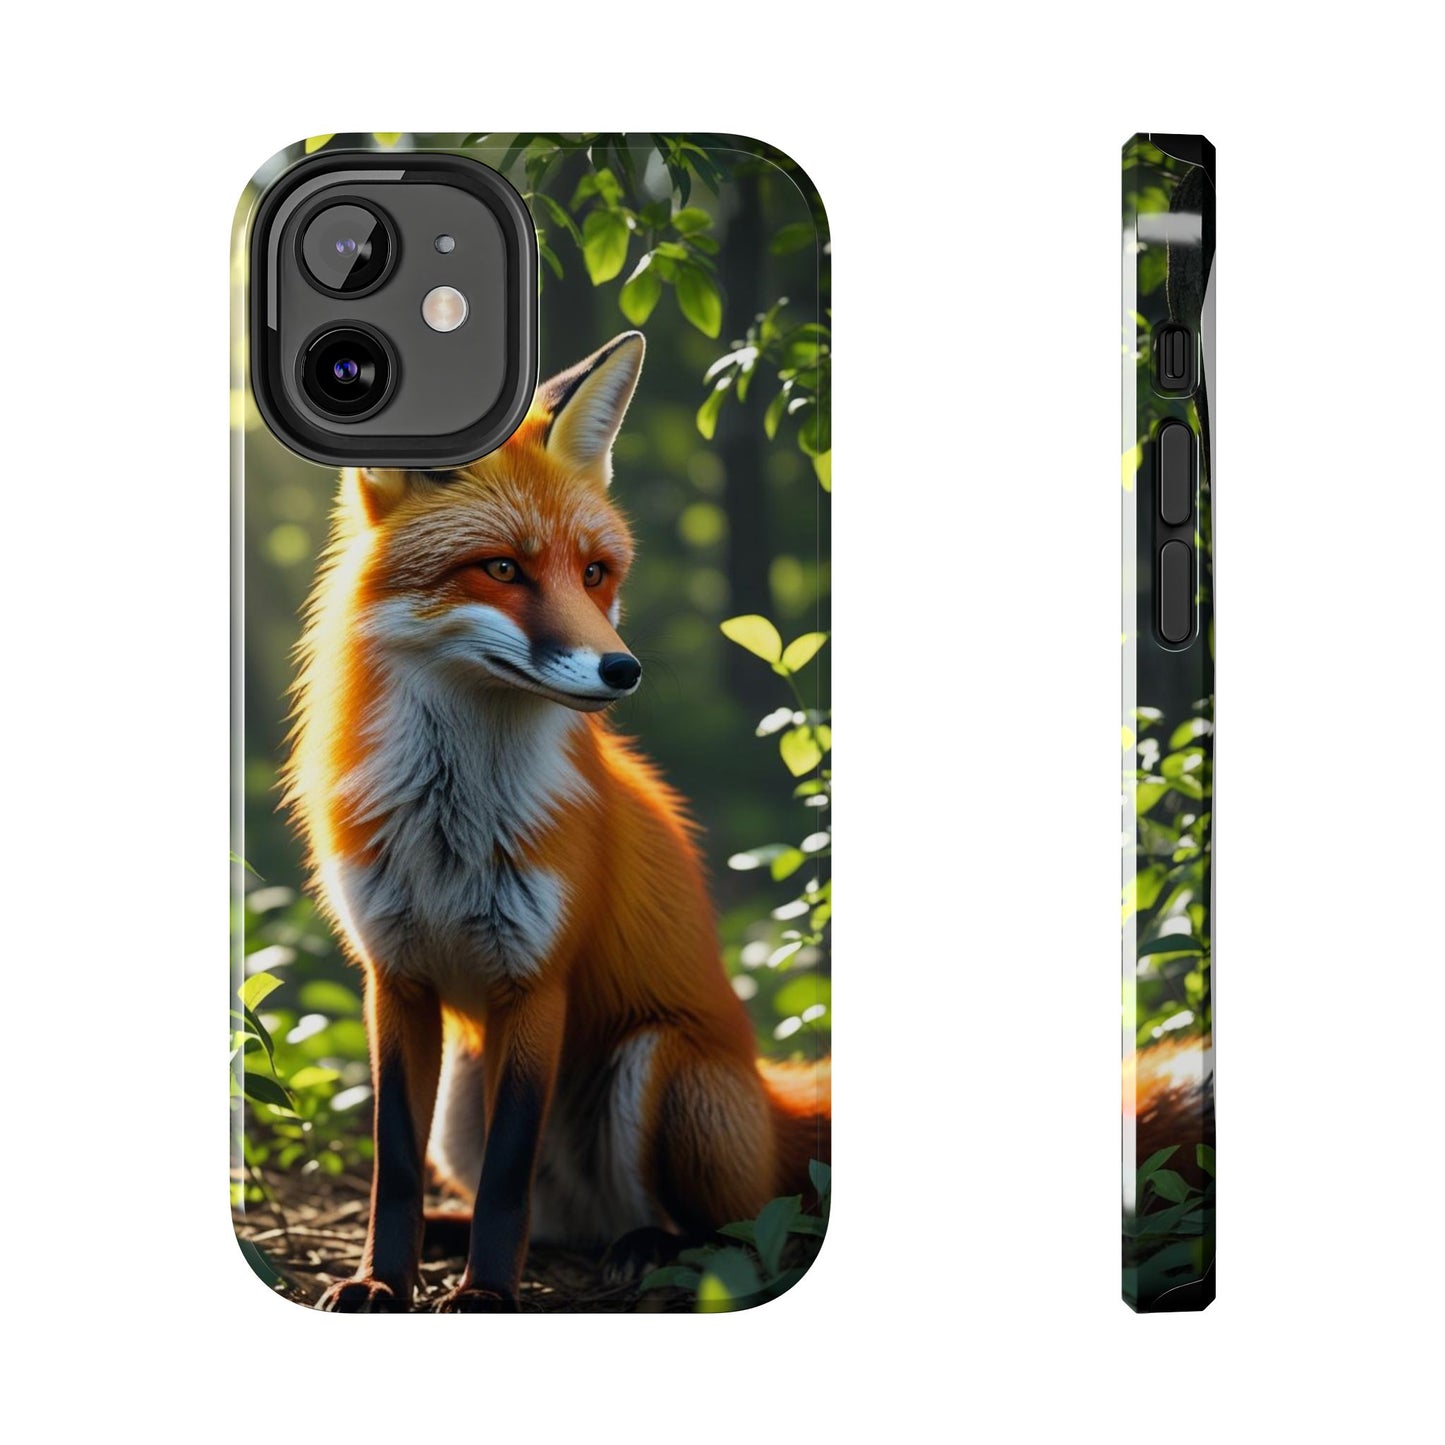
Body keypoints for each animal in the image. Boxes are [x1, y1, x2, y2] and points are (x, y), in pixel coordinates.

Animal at [283, 331, 830, 1312]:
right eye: (502, 567)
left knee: (723, 1229)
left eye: (594, 573)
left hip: (660, 1068)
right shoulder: (395, 978)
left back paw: (647, 1246)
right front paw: (381, 1277)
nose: (623, 669)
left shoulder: (535, 982)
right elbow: (394, 1163)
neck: (448, 826)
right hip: (462, 1096)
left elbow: (508, 1170)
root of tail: (773, 1103)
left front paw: (486, 1295)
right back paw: (458, 1232)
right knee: (545, 1218)